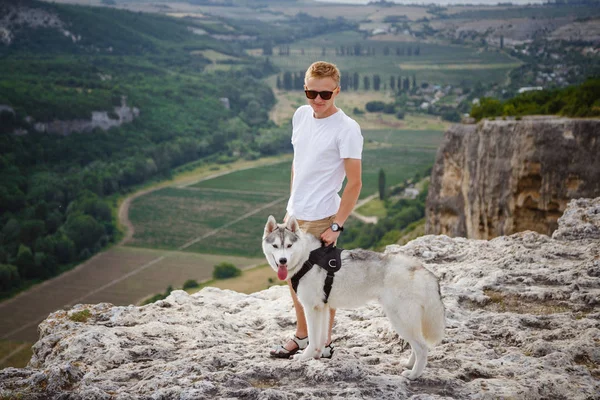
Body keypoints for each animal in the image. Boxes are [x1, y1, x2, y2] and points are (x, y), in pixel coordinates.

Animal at [262, 214, 446, 380]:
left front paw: (305, 357)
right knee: (418, 346)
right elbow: (320, 338)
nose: (283, 260)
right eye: (276, 246)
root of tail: (421, 269)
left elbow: (313, 339)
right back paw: (409, 365)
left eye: (289, 245)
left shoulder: (311, 308)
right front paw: (317, 355)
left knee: (422, 348)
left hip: (401, 320)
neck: (306, 257)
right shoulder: (323, 308)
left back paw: (414, 374)